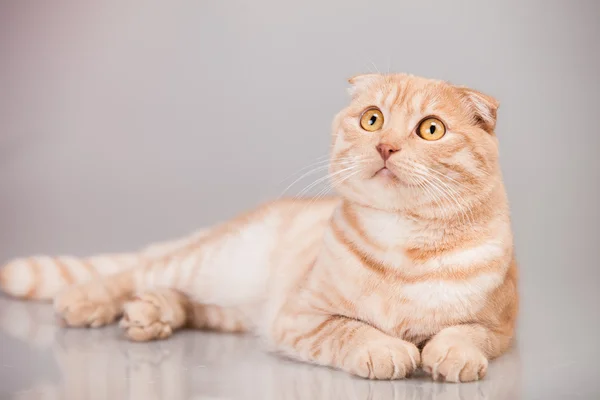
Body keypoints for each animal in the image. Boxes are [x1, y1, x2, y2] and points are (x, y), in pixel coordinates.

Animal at [0, 73, 516, 382]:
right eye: (373, 120)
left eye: (431, 129)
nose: (385, 146)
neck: (404, 243)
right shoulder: (302, 315)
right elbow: (350, 330)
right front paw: (388, 350)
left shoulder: (501, 326)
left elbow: (468, 333)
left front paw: (453, 354)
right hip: (210, 261)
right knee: (137, 272)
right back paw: (87, 302)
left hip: (232, 306)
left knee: (189, 302)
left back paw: (151, 315)